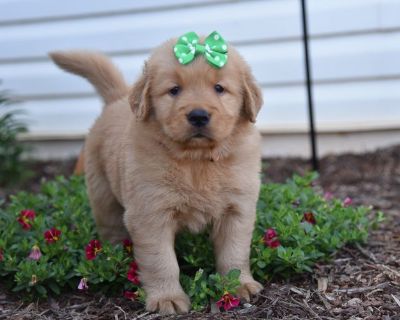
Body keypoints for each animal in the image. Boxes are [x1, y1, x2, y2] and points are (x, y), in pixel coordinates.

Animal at [49, 31, 262, 312]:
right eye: (174, 90)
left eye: (219, 88)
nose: (198, 115)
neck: (196, 161)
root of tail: (117, 99)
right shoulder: (150, 214)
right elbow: (161, 262)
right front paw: (166, 298)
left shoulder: (237, 209)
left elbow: (234, 253)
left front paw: (238, 285)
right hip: (103, 194)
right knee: (110, 229)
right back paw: (114, 258)